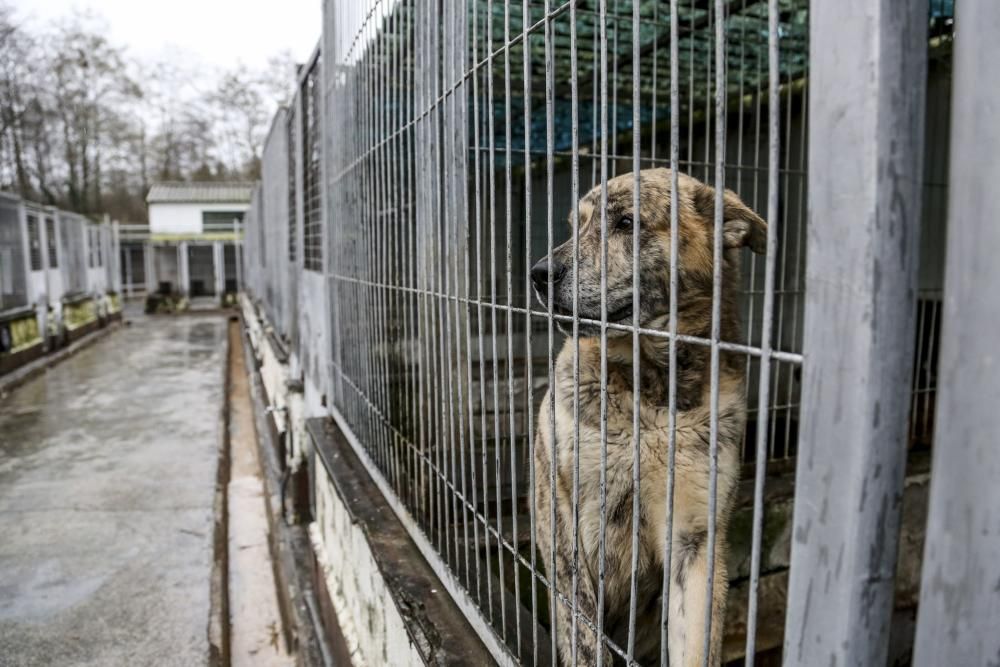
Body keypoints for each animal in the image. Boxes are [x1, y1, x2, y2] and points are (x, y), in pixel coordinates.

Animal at [532, 168, 764, 667]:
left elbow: (695, 647)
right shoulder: (565, 533)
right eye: (575, 225)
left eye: (626, 222)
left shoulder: (695, 539)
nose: (538, 274)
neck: (650, 392)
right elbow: (585, 643)